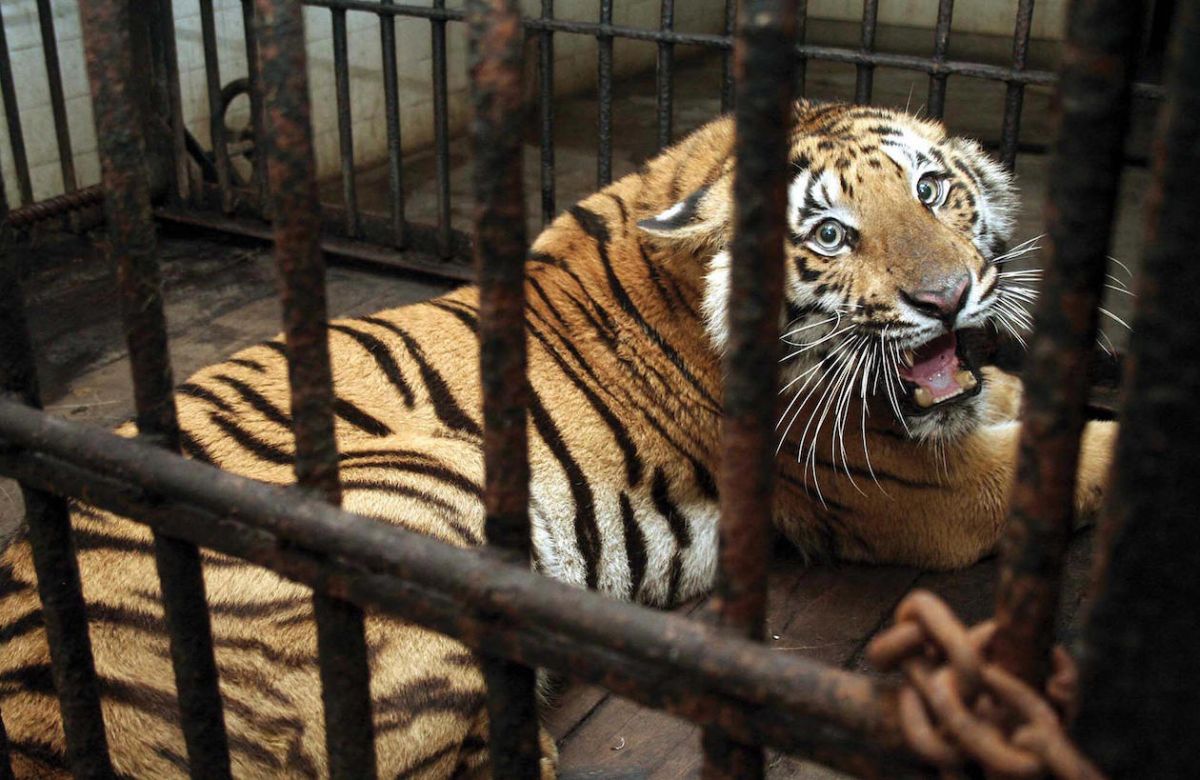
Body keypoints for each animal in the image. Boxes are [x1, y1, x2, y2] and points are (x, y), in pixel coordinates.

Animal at [0, 100, 1113, 772]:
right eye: (830, 236)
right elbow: (1075, 463)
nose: (949, 297)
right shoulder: (924, 490)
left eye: (931, 190)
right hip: (410, 492)